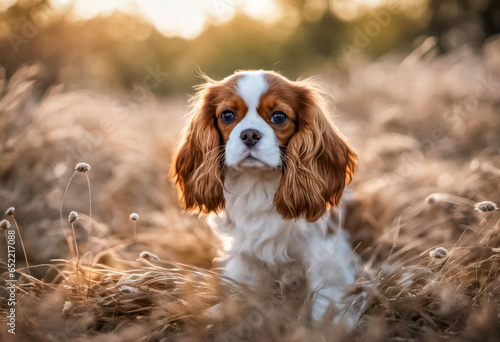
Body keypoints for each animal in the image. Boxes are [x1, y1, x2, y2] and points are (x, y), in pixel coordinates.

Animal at [172, 70, 360, 324]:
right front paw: (229, 311)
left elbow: (326, 289)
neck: (257, 183)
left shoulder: (324, 247)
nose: (249, 134)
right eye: (227, 115)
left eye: (279, 117)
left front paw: (328, 322)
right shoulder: (243, 252)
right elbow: (245, 285)